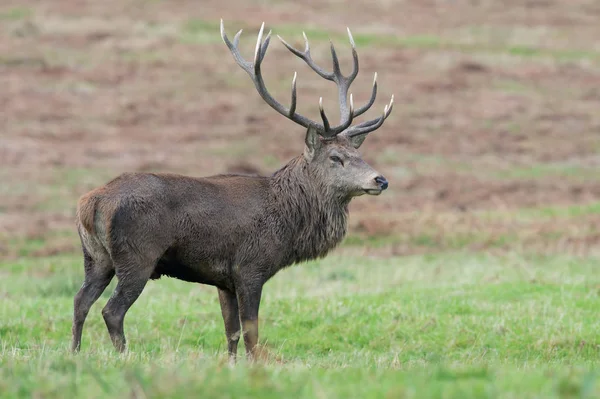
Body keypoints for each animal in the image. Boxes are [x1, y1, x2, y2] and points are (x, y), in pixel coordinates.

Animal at [71, 19, 394, 362]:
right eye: (335, 157)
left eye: (358, 153)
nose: (380, 180)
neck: (288, 223)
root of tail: (90, 204)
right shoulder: (249, 267)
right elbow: (251, 331)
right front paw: (255, 366)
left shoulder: (222, 279)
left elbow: (232, 332)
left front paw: (231, 364)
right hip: (137, 255)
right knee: (112, 311)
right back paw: (123, 356)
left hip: (96, 257)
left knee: (80, 301)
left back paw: (74, 352)